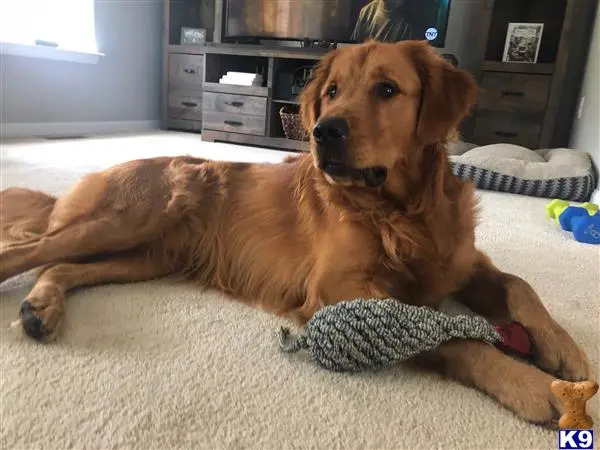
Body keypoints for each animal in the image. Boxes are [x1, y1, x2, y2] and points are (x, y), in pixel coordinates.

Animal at [0, 38, 592, 426]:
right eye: (331, 91)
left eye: (387, 89)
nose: (323, 132)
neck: (403, 211)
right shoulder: (336, 287)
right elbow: (442, 329)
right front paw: (529, 384)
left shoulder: (462, 262)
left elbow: (518, 284)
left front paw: (562, 349)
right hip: (129, 219)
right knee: (29, 249)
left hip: (145, 256)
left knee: (57, 264)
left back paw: (41, 308)